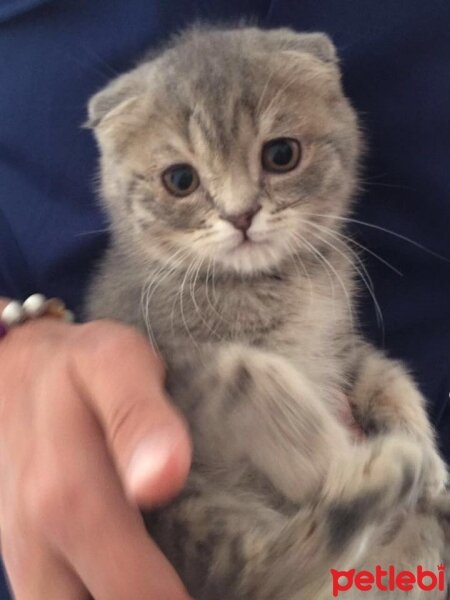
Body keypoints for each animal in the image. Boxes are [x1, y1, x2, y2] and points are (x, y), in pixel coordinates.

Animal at [85, 27, 450, 600]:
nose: (241, 215)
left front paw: (430, 458)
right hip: (194, 519)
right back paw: (381, 472)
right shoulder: (171, 364)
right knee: (259, 574)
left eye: (281, 154)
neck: (269, 284)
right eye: (180, 180)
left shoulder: (342, 344)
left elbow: (388, 375)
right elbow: (251, 375)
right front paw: (334, 460)